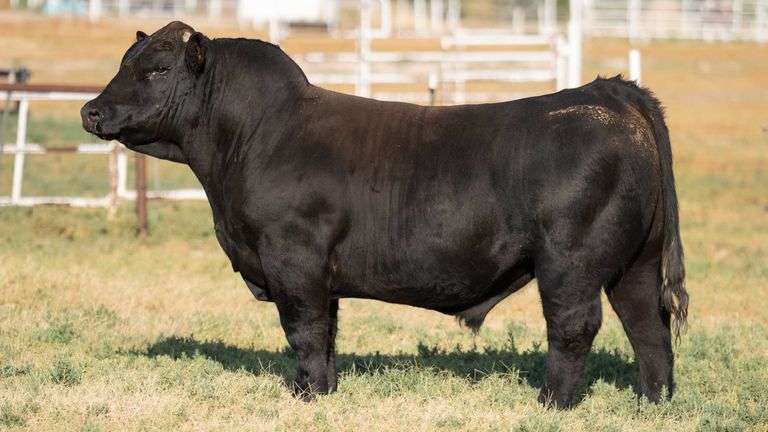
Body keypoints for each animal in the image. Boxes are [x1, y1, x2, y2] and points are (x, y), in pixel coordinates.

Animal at [81, 21, 688, 408]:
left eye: (158, 70)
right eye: (125, 64)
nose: (91, 111)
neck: (252, 138)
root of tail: (610, 93)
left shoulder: (292, 259)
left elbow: (304, 329)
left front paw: (307, 396)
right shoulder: (319, 274)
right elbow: (326, 332)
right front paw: (318, 391)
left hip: (572, 263)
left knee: (574, 326)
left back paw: (550, 403)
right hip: (635, 262)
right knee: (648, 327)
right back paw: (651, 402)